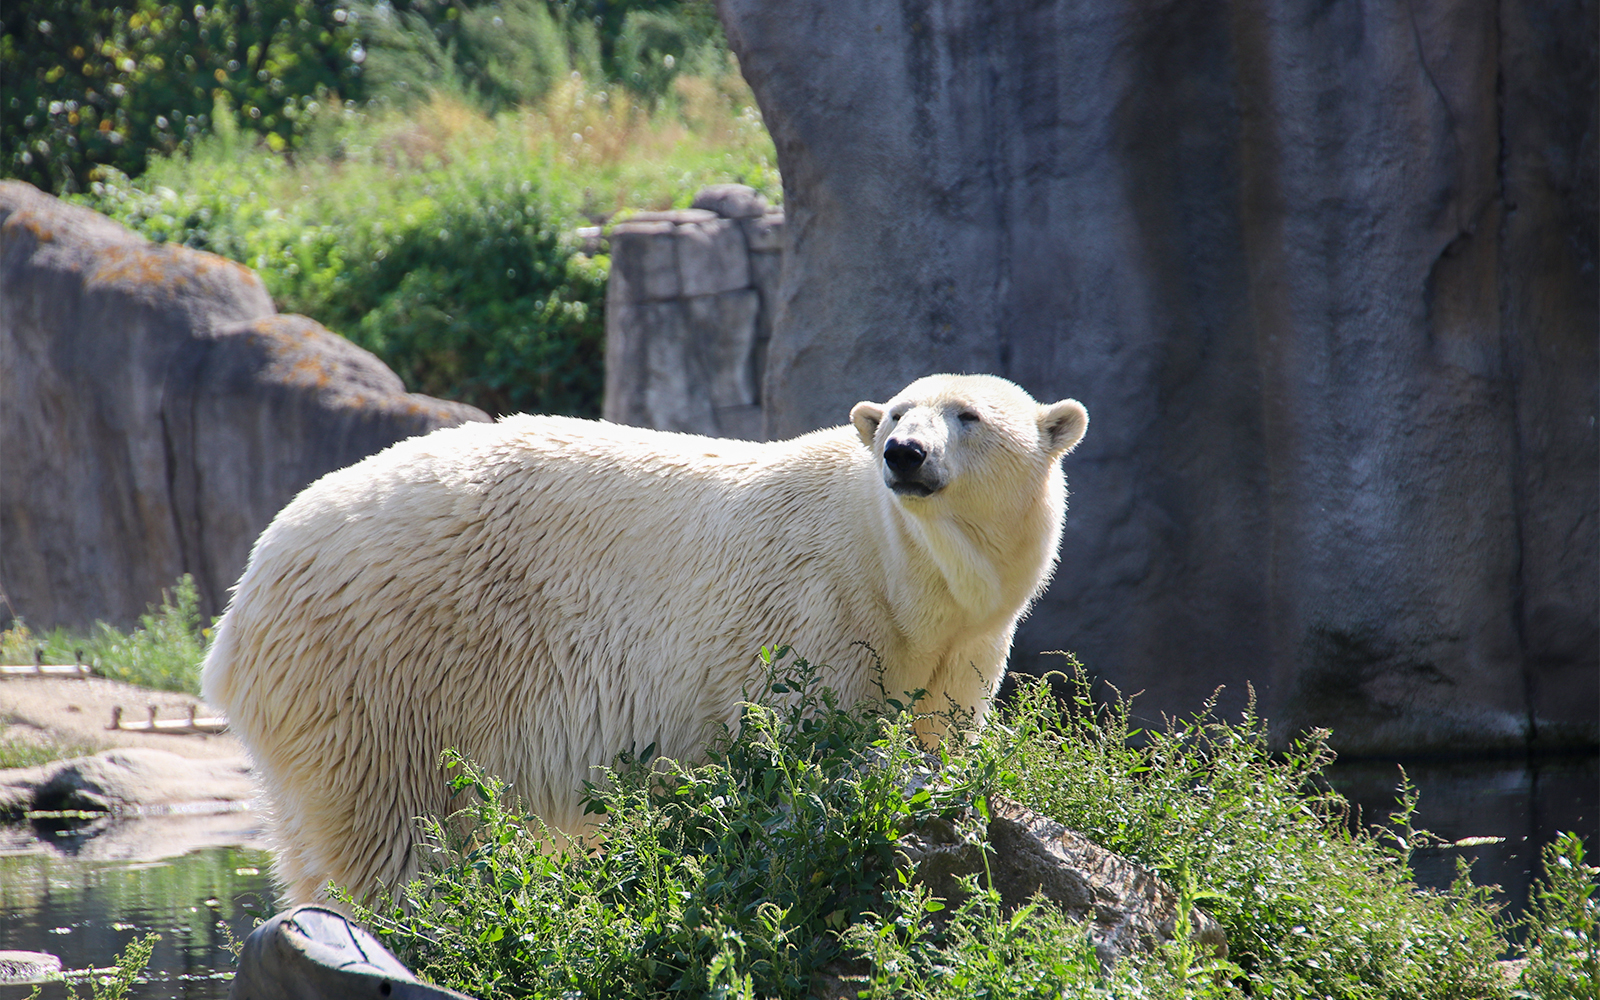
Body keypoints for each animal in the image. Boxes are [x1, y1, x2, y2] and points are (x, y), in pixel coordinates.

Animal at [201, 373, 1088, 904]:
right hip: (381, 673)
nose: (904, 454)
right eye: (899, 414)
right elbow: (810, 753)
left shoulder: (960, 647)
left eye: (969, 416)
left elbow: (939, 735)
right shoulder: (818, 617)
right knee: (396, 841)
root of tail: (243, 601)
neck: (898, 567)